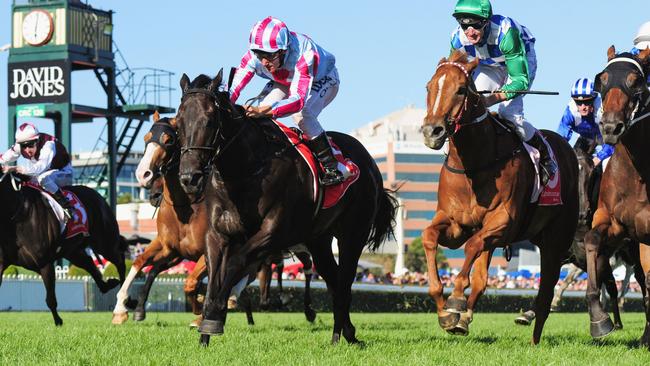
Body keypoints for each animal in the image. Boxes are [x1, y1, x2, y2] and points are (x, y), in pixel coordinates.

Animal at [0, 172, 130, 326]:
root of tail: (97, 195)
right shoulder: (2, 263)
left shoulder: (45, 263)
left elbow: (50, 299)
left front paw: (58, 322)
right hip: (73, 251)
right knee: (89, 263)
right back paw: (109, 286)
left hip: (105, 242)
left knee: (120, 261)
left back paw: (124, 302)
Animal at [172, 71, 394, 346]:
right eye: (178, 124)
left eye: (210, 121)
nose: (188, 178)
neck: (245, 172)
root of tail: (369, 161)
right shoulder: (217, 234)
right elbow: (215, 274)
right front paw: (206, 330)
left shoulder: (273, 233)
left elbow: (235, 264)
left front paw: (216, 316)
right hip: (319, 240)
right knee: (333, 280)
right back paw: (345, 334)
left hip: (353, 234)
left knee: (344, 282)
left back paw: (340, 335)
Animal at [420, 50, 576, 344]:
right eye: (429, 86)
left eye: (461, 89)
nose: (431, 131)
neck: (474, 163)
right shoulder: (456, 225)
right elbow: (429, 236)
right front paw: (446, 313)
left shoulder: (503, 222)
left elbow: (471, 248)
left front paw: (455, 300)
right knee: (482, 277)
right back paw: (464, 319)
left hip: (556, 239)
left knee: (546, 290)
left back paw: (534, 337)